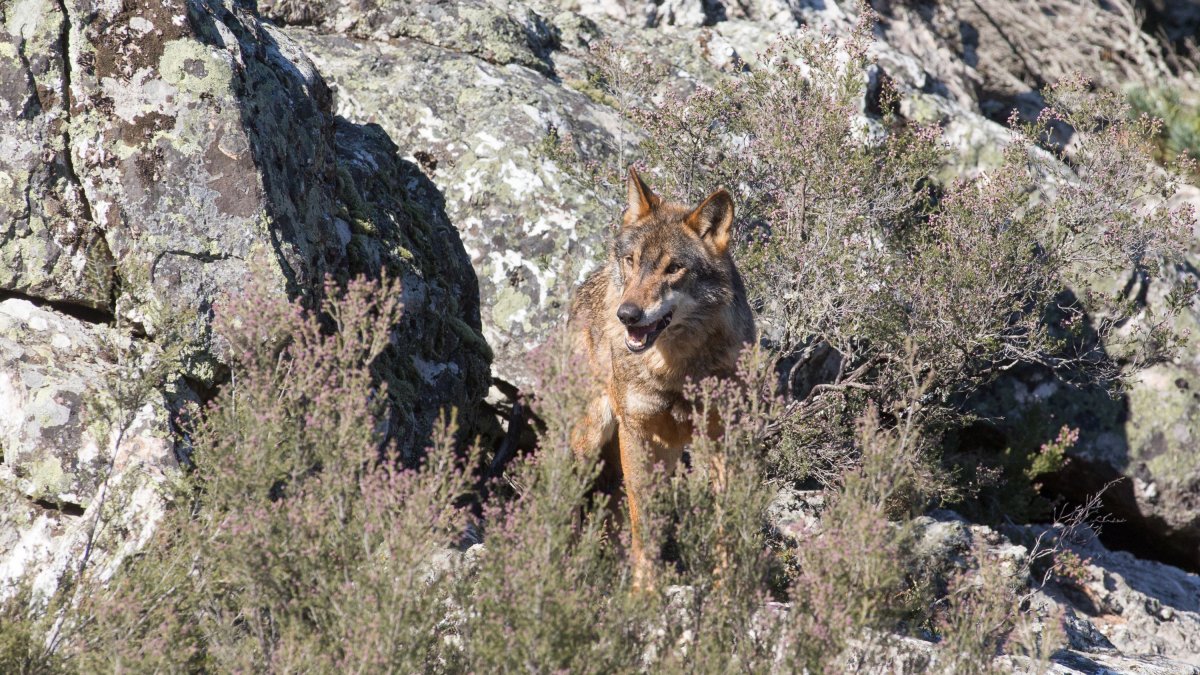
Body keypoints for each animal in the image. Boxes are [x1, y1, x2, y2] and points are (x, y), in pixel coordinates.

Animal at [568, 167, 756, 584]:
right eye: (632, 261)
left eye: (673, 268)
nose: (627, 315)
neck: (678, 370)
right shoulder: (638, 432)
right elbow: (644, 521)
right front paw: (646, 590)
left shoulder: (722, 436)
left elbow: (724, 522)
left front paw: (727, 587)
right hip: (591, 438)